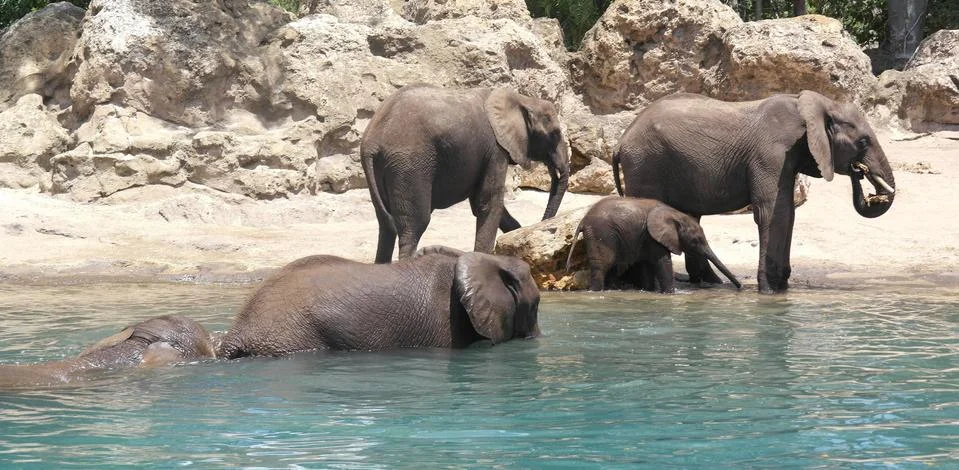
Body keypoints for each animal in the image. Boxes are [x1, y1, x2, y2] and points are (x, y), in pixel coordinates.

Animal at [361, 84, 570, 263]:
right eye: (554, 134)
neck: (522, 99)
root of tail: (372, 143)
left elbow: (482, 202)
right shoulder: (495, 149)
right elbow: (489, 201)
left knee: (386, 226)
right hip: (409, 164)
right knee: (414, 224)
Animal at [567, 196, 742, 293]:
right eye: (696, 240)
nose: (740, 287)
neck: (675, 214)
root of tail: (583, 220)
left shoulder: (645, 238)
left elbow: (646, 265)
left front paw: (648, 290)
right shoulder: (653, 237)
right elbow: (662, 262)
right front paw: (670, 294)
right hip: (601, 234)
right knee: (603, 265)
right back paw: (595, 291)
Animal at [612, 91, 896, 293]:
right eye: (863, 142)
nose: (860, 172)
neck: (818, 104)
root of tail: (621, 140)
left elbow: (787, 213)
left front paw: (782, 287)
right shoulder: (772, 153)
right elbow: (773, 212)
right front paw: (771, 291)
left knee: (690, 216)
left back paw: (710, 283)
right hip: (646, 164)